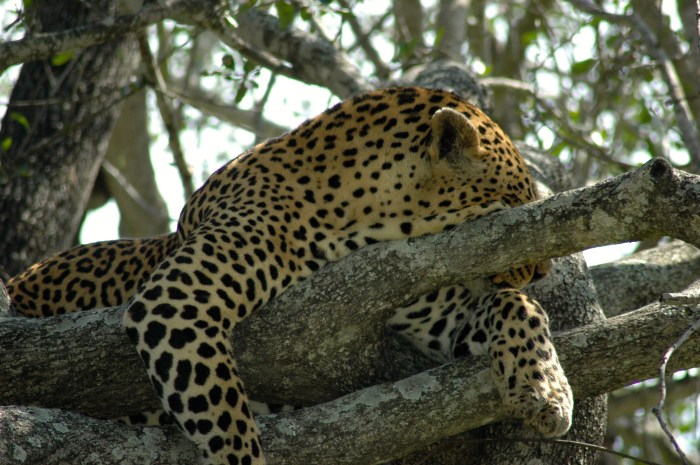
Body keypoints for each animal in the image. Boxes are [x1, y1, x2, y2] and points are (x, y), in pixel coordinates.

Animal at [7, 86, 573, 465]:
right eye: (516, 200)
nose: (545, 267)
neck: (364, 221)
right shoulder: (175, 305)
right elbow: (227, 423)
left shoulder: (416, 298)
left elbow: (514, 305)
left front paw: (546, 386)